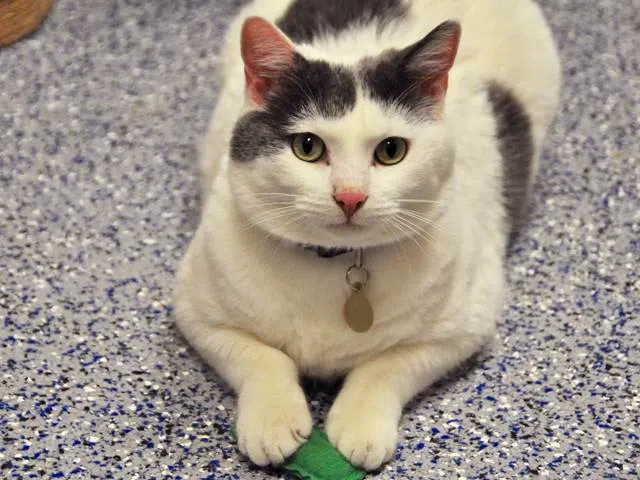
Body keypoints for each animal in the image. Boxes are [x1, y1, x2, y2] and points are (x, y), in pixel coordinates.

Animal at [174, 0, 560, 471]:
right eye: (307, 147)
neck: (334, 263)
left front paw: (358, 428)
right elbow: (262, 357)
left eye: (391, 151)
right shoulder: (196, 310)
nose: (350, 196)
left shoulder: (461, 327)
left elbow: (384, 367)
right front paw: (273, 421)